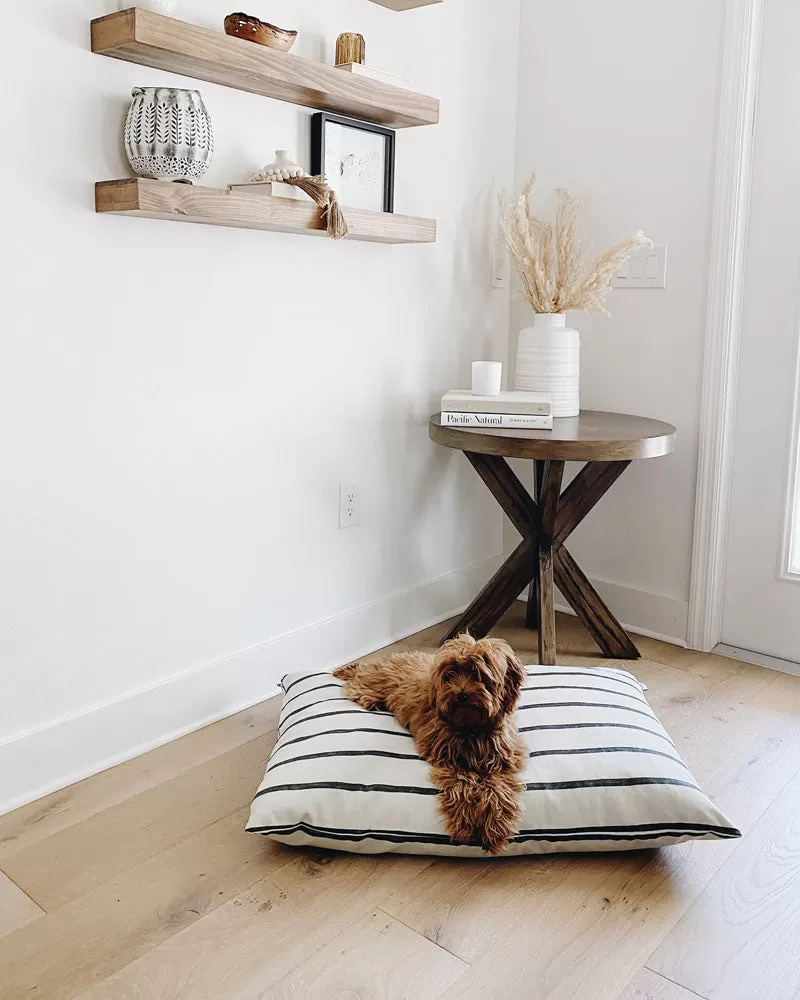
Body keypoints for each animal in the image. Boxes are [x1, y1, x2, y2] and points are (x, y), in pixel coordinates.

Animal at [334, 632, 528, 852]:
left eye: (479, 674)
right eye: (450, 674)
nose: (461, 694)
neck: (471, 729)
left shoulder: (502, 759)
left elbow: (497, 788)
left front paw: (494, 825)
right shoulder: (449, 760)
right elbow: (462, 785)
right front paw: (466, 823)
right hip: (368, 690)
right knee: (358, 680)